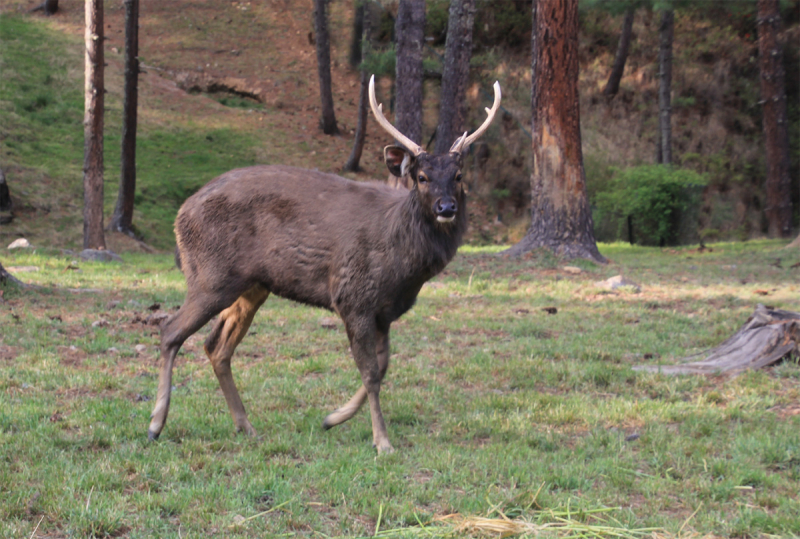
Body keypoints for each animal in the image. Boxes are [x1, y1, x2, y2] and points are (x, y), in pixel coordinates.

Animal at [148, 76, 500, 454]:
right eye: (421, 177)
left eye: (459, 175)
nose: (446, 207)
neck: (403, 266)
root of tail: (180, 215)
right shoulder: (352, 296)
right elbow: (371, 372)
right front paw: (382, 441)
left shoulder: (384, 311)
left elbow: (384, 366)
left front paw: (332, 418)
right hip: (210, 277)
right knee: (170, 331)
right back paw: (155, 424)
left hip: (251, 288)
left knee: (217, 347)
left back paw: (246, 426)